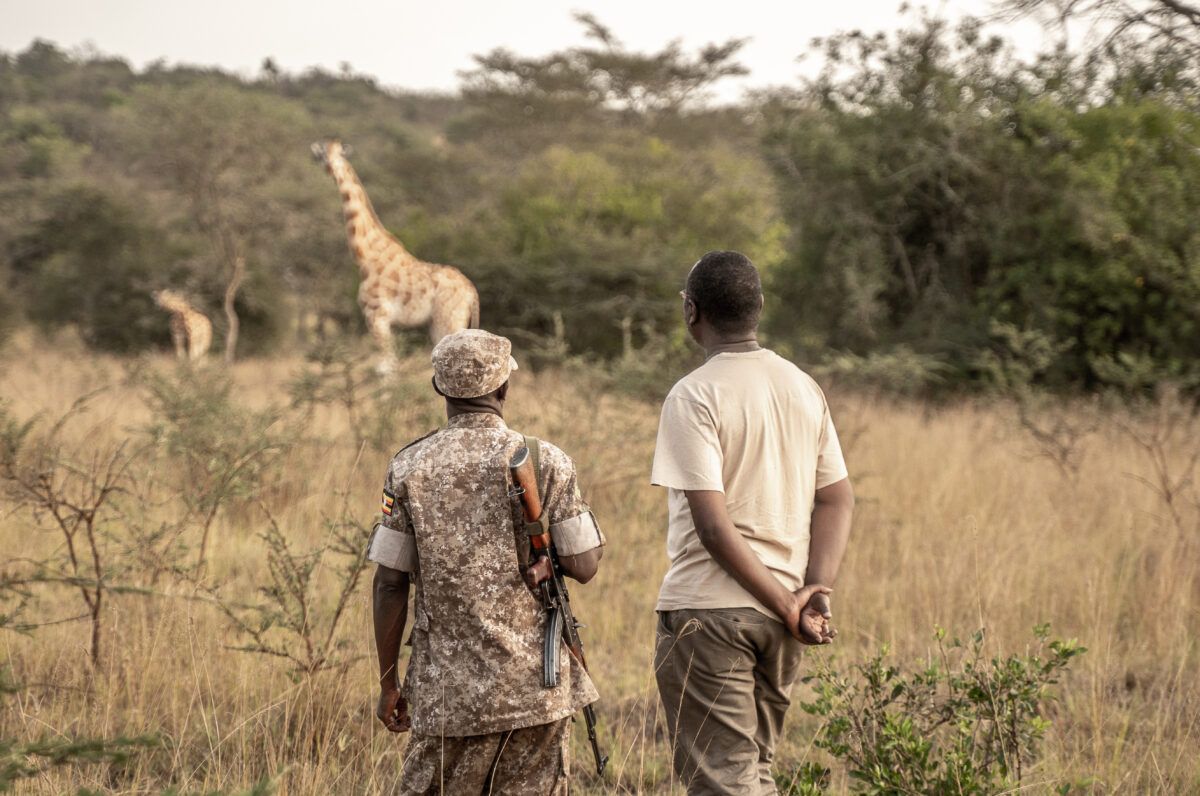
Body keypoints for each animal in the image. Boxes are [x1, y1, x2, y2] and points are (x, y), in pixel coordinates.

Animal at [310, 140, 479, 370]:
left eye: (336, 154)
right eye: (322, 154)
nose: (328, 166)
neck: (365, 255)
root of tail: (473, 293)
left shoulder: (376, 314)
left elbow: (386, 367)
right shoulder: (390, 323)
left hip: (446, 321)